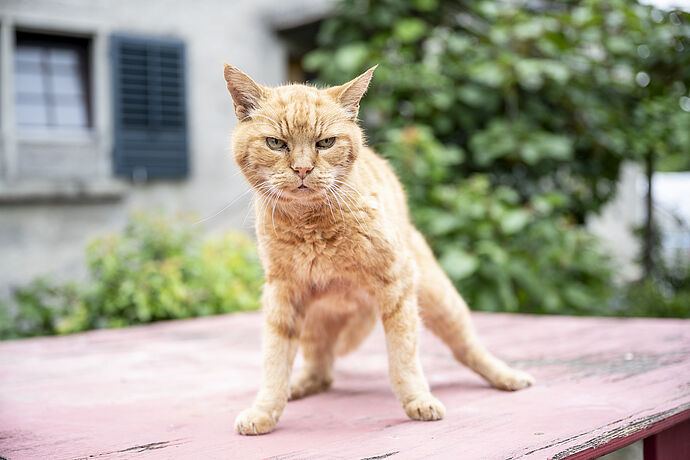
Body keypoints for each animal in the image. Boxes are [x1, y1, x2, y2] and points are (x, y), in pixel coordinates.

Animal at [223, 63, 536, 434]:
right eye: (275, 143)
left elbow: (404, 357)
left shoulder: (397, 287)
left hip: (440, 301)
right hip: (314, 321)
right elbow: (274, 360)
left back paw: (507, 377)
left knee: (468, 348)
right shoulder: (282, 295)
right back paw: (297, 387)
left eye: (325, 143)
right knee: (321, 370)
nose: (302, 169)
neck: (312, 227)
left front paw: (417, 400)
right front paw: (266, 409)